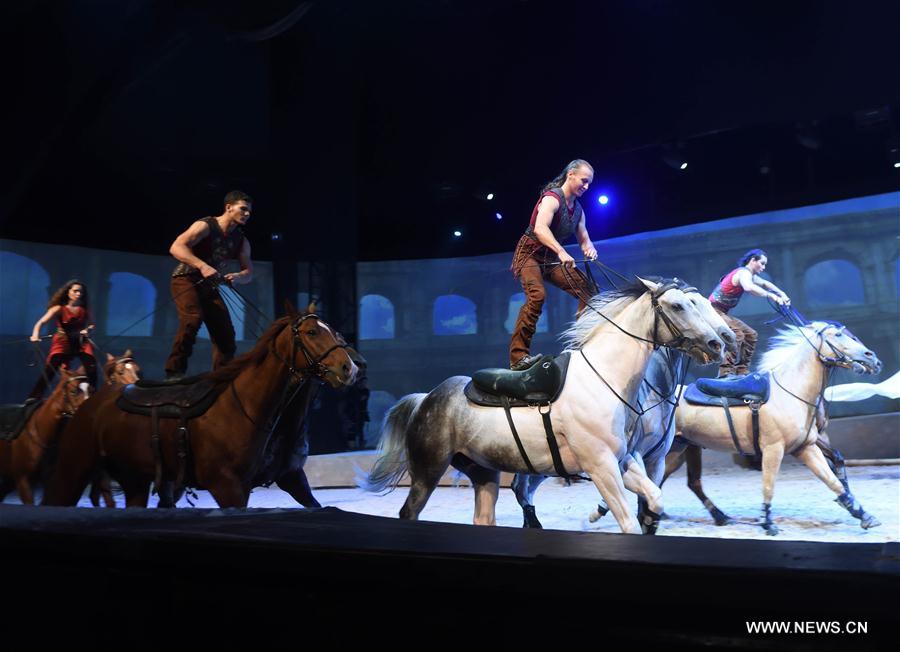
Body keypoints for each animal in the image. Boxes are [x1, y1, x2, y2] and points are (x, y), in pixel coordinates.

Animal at [44, 310, 356, 510]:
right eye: (312, 332)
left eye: (334, 331)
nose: (349, 367)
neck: (240, 406)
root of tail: (88, 405)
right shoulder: (227, 487)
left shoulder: (290, 478)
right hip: (73, 471)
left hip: (135, 482)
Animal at [358, 278, 724, 532]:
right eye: (678, 306)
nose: (716, 343)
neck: (603, 378)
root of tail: (425, 399)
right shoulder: (601, 466)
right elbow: (628, 522)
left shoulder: (624, 461)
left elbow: (653, 501)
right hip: (428, 471)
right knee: (410, 512)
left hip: (484, 474)